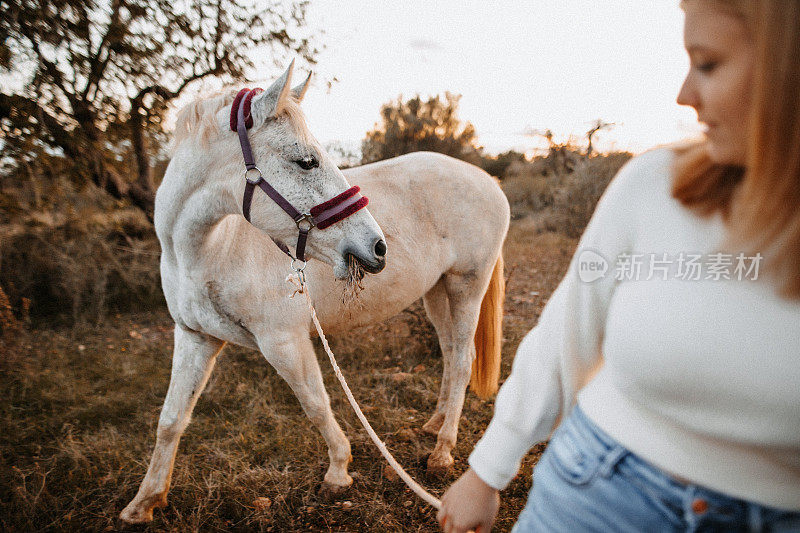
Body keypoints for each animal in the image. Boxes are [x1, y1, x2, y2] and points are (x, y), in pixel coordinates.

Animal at [120, 63, 506, 524]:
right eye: (306, 161)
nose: (377, 247)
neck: (209, 249)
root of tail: (487, 179)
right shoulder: (195, 338)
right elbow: (171, 419)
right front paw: (144, 501)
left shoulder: (283, 341)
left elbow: (315, 402)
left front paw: (338, 471)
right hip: (437, 291)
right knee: (449, 353)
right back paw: (434, 424)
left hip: (467, 285)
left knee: (463, 361)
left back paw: (443, 451)